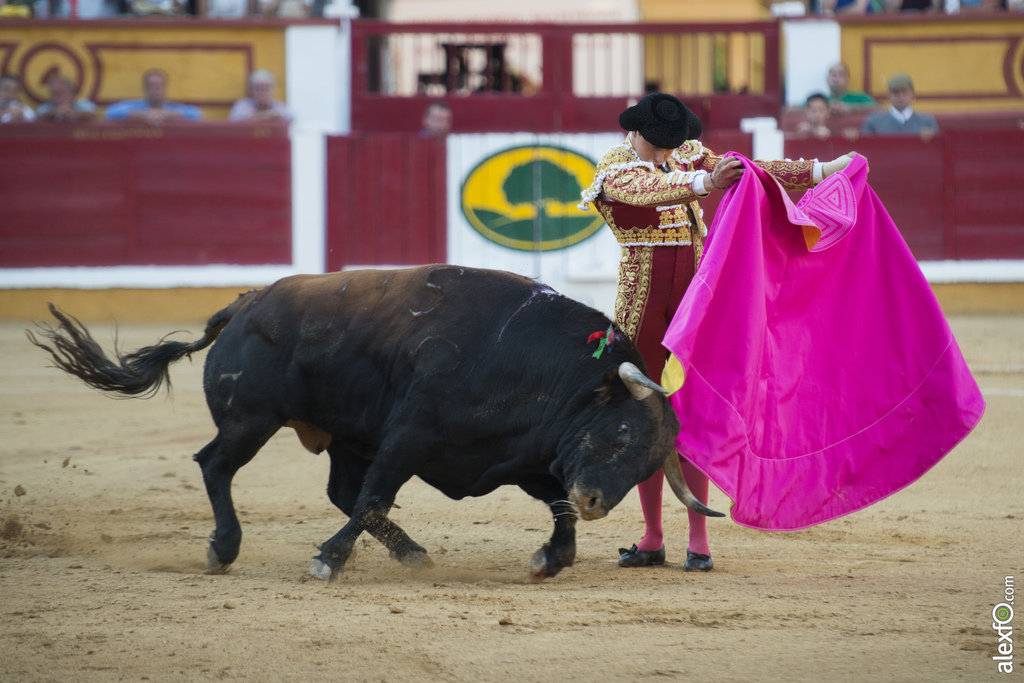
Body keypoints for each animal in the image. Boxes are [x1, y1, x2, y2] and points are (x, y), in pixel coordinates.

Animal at [29, 264, 720, 581]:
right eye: (623, 432)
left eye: (646, 461)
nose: (599, 501)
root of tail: (246, 303)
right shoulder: (408, 437)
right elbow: (374, 498)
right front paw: (328, 561)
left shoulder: (520, 455)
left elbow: (556, 507)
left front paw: (551, 558)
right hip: (252, 419)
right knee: (217, 465)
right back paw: (223, 548)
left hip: (342, 435)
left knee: (339, 488)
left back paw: (412, 552)